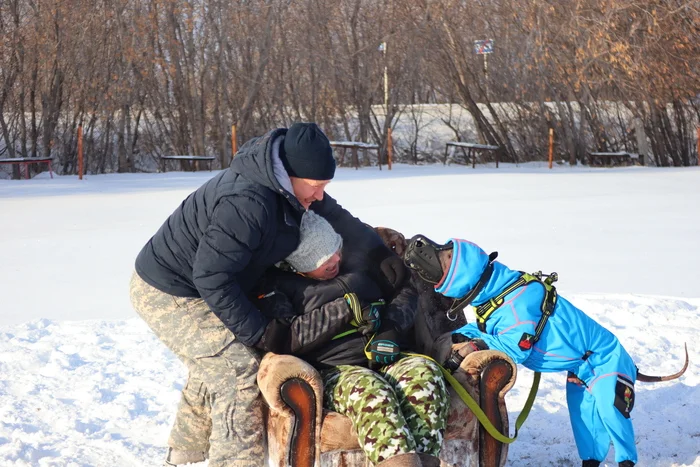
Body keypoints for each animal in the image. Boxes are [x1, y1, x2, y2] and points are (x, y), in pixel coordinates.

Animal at [404, 236, 688, 467]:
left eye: (448, 248)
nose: (416, 240)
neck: (498, 291)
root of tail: (633, 366)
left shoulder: (516, 342)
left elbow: (482, 342)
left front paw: (460, 351)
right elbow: (470, 332)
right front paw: (459, 341)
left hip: (613, 396)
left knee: (621, 439)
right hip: (582, 396)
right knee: (590, 437)